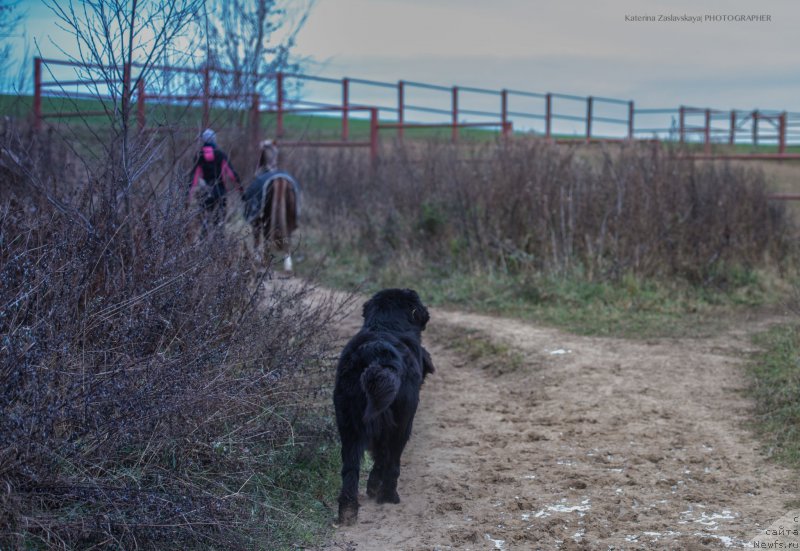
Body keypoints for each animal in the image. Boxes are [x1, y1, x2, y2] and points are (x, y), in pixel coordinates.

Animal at [242, 141, 302, 272]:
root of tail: (280, 180)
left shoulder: (257, 221)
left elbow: (257, 240)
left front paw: (257, 258)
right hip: (289, 216)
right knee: (287, 237)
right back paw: (287, 264)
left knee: (267, 240)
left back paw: (265, 262)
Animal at [332, 288, 434, 528]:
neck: (386, 325)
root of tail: (377, 353)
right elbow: (385, 458)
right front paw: (377, 489)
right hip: (401, 422)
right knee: (392, 461)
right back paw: (389, 497)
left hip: (348, 423)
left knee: (350, 469)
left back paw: (348, 512)